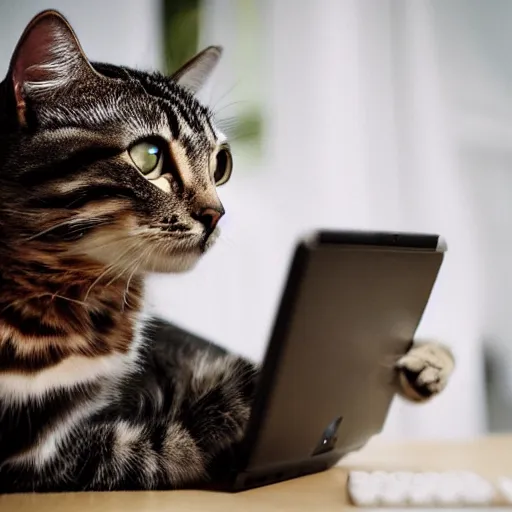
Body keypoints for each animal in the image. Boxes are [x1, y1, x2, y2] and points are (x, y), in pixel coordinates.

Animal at [0, 10, 456, 494]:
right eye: (148, 157)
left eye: (221, 164)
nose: (216, 215)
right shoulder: (45, 458)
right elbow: (190, 429)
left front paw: (423, 360)